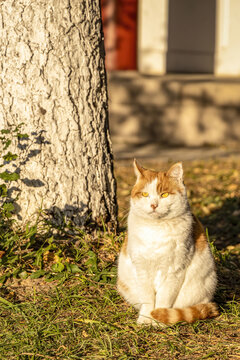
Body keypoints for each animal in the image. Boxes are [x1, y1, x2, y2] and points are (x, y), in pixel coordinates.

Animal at [117, 162, 218, 324]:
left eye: (164, 195)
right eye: (145, 194)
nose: (153, 205)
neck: (156, 229)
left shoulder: (174, 270)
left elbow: (163, 299)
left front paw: (158, 320)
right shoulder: (142, 269)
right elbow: (147, 298)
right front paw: (145, 319)